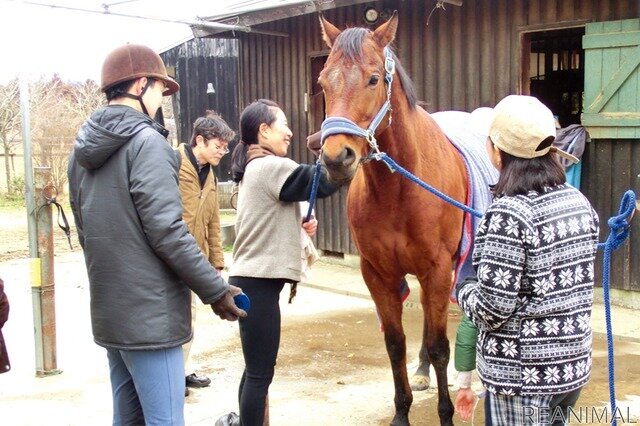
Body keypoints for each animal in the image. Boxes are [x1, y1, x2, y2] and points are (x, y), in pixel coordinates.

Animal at [318, 14, 464, 426]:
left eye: (373, 79)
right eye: (323, 81)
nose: (336, 158)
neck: (399, 188)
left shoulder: (438, 268)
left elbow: (440, 346)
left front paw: (446, 414)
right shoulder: (378, 273)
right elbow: (395, 344)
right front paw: (401, 411)